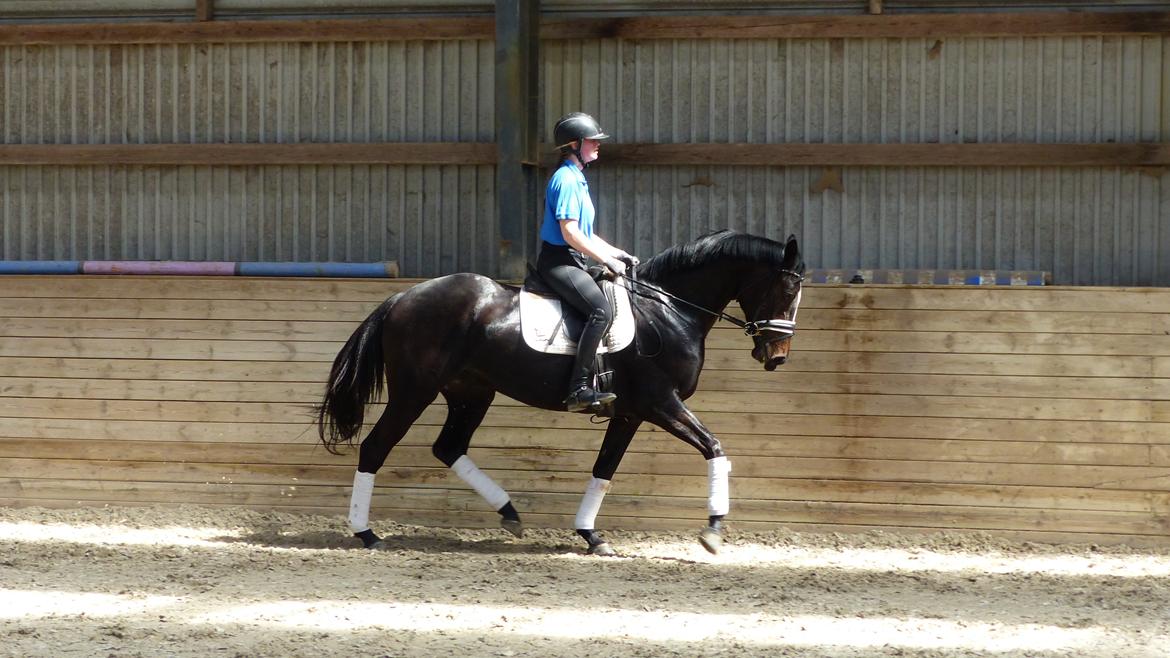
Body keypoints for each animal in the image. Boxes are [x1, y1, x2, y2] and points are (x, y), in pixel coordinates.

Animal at [315, 230, 800, 552]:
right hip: (414, 392)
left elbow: (604, 470)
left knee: (448, 447)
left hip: (472, 393)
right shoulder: (662, 403)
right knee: (376, 447)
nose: (776, 356)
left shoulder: (631, 413)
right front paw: (713, 530)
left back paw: (510, 514)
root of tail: (402, 298)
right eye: (787, 289)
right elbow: (714, 447)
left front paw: (591, 535)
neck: (669, 309)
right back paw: (366, 533)